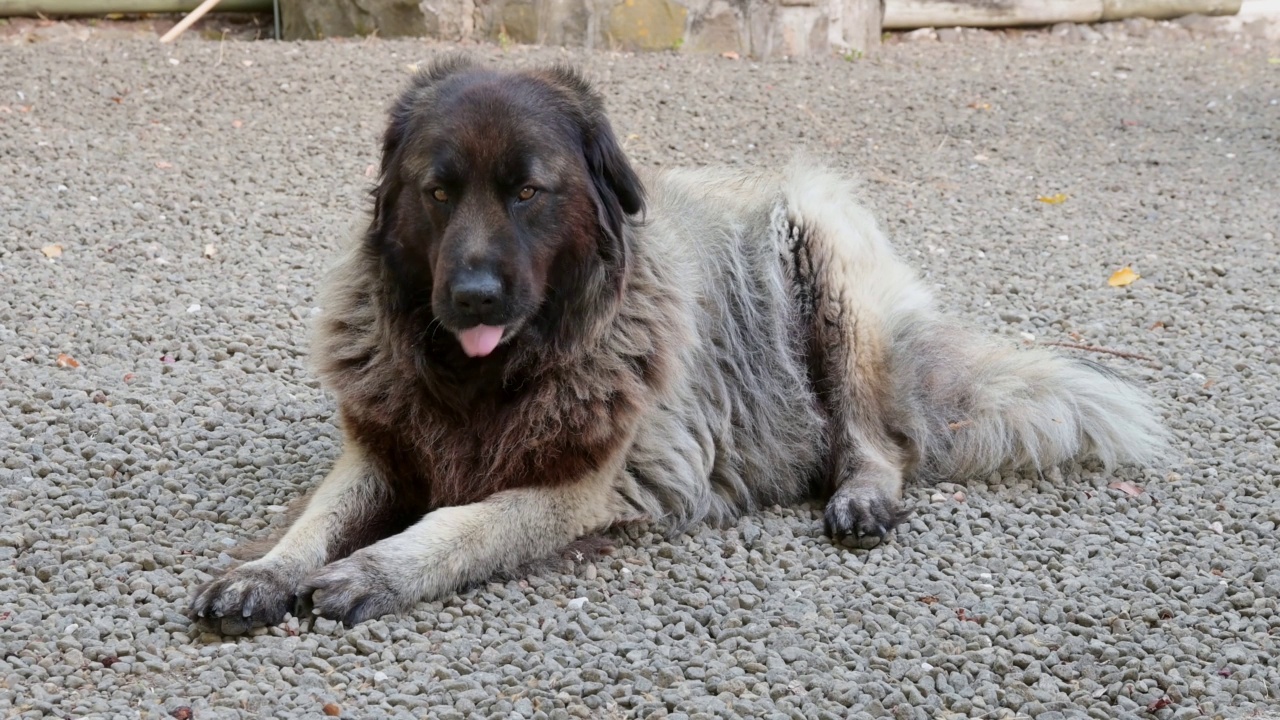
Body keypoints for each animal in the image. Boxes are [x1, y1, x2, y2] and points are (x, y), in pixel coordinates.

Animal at [186, 56, 1162, 630]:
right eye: (438, 191)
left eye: (528, 192)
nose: (471, 297)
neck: (489, 378)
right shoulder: (380, 453)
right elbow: (315, 522)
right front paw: (263, 571)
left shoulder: (574, 490)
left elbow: (459, 526)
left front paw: (375, 572)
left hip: (826, 267)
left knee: (876, 437)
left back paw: (860, 496)